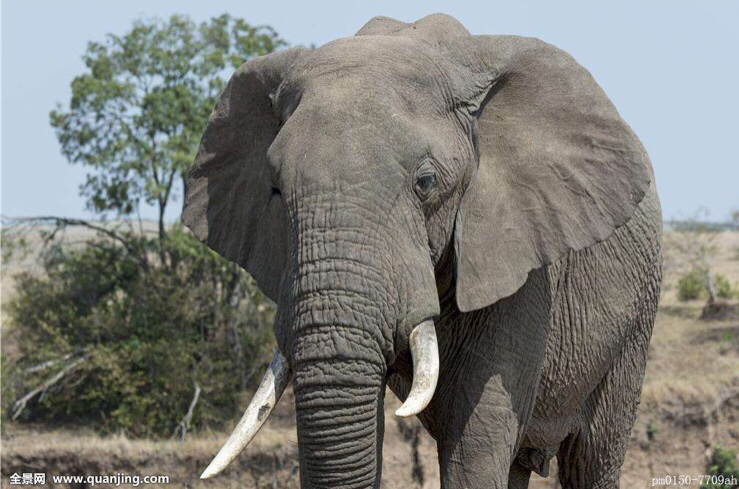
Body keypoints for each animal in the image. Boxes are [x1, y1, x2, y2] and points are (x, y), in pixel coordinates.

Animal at [181, 11, 664, 488]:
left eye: (426, 183)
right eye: (276, 190)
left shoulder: (522, 264)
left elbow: (475, 444)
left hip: (636, 322)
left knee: (592, 457)